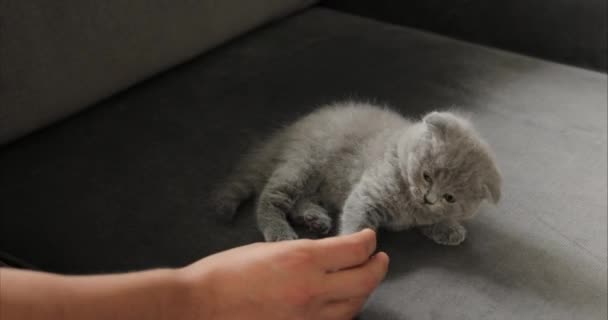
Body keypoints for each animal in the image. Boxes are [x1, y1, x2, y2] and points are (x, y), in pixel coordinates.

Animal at [213, 101, 498, 244]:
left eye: (450, 197)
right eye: (426, 175)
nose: (428, 198)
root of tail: (290, 131)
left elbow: (432, 220)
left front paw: (449, 229)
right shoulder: (369, 193)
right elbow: (356, 221)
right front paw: (349, 244)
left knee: (299, 201)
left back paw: (315, 218)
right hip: (304, 164)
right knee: (269, 198)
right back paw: (280, 233)